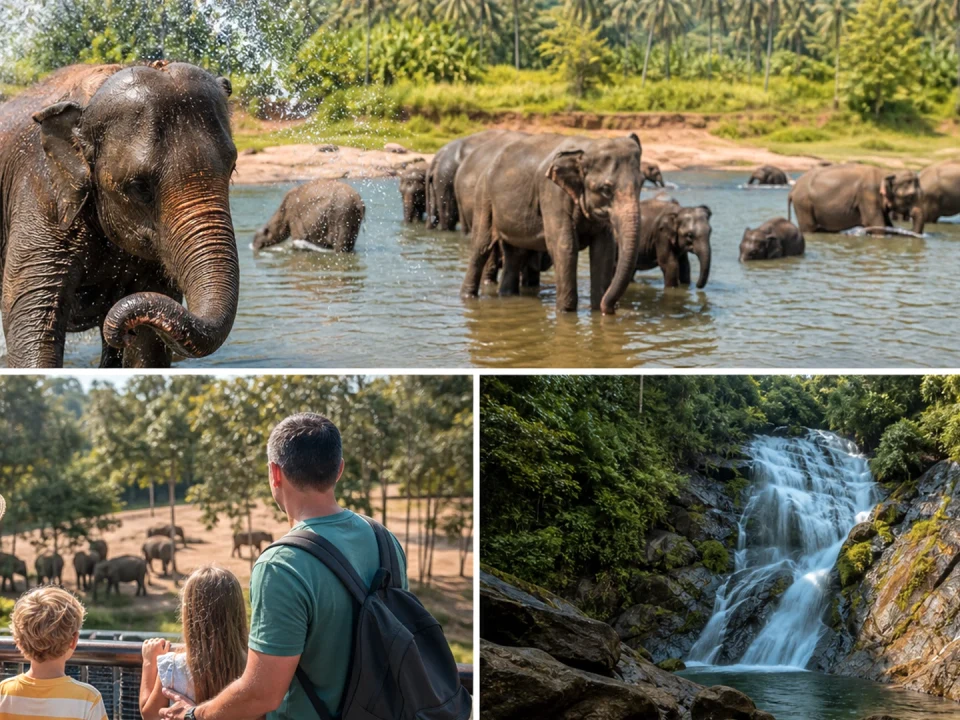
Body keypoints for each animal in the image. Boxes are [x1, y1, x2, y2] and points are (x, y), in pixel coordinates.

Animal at [0, 62, 240, 368]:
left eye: (232, 168)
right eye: (140, 187)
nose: (123, 332)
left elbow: (148, 344)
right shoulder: (40, 192)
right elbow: (30, 314)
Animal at [462, 133, 644, 314]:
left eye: (641, 184)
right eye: (605, 189)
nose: (610, 308)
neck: (586, 148)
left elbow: (604, 249)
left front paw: (599, 312)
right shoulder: (552, 194)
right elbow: (565, 246)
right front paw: (566, 312)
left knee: (515, 253)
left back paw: (507, 295)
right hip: (484, 198)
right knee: (481, 247)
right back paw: (468, 297)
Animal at [789, 164, 924, 235]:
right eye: (910, 196)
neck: (887, 173)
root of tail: (793, 189)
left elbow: (886, 224)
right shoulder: (868, 195)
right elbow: (876, 224)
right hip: (803, 204)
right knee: (809, 228)